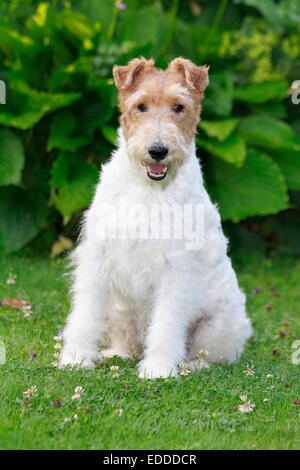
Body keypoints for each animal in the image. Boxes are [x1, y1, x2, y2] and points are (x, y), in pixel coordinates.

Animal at [59, 57, 252, 378]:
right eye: (141, 106)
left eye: (179, 106)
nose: (158, 151)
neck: (148, 188)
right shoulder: (97, 257)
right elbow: (84, 314)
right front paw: (75, 358)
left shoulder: (176, 267)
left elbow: (167, 324)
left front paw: (158, 369)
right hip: (118, 311)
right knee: (128, 344)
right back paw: (115, 354)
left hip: (219, 325)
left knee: (213, 356)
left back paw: (190, 365)